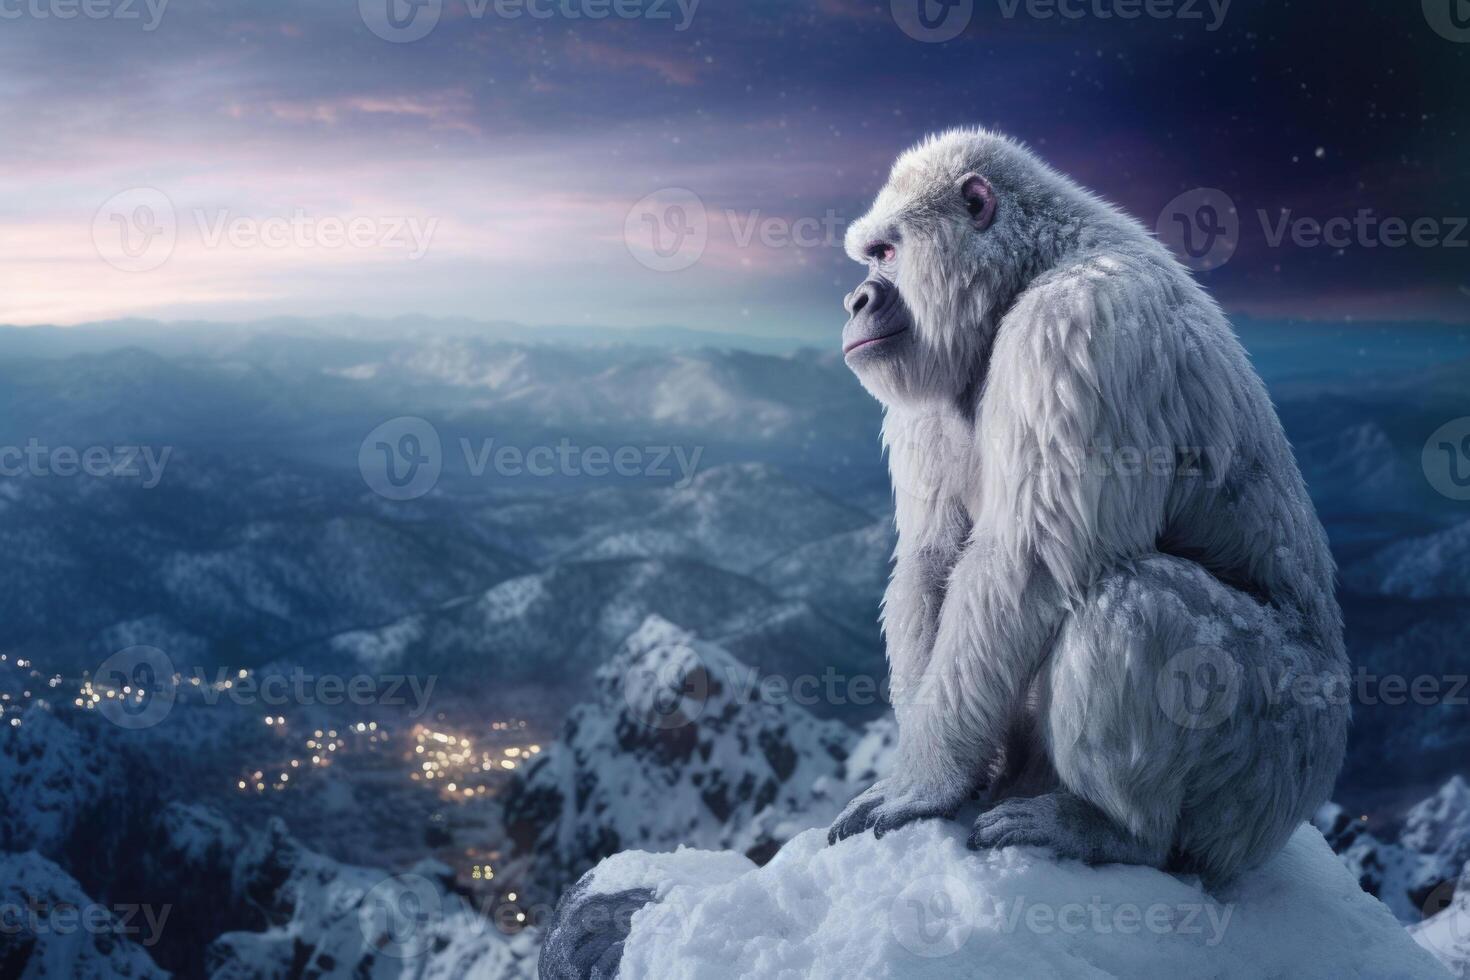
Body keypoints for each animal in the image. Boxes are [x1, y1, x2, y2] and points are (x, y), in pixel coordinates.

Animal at [829, 126, 1346, 887]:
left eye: (887, 253)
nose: (857, 301)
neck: (1026, 272)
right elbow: (933, 557)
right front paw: (954, 771)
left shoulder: (1076, 328)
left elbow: (1022, 564)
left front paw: (925, 778)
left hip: (1272, 765)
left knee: (1131, 602)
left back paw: (1117, 831)